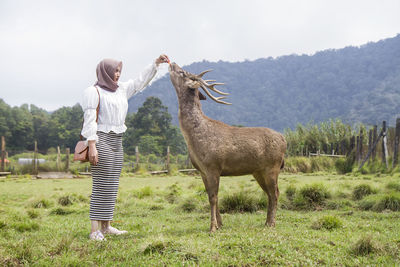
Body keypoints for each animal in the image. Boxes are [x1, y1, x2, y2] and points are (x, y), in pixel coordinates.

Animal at [167, 62, 286, 232]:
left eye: (183, 72)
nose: (172, 63)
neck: (194, 140)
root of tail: (284, 139)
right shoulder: (201, 170)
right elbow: (210, 195)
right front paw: (220, 224)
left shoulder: (213, 165)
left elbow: (213, 197)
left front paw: (213, 227)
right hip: (258, 171)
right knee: (270, 193)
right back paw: (266, 222)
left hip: (272, 166)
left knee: (275, 192)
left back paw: (271, 224)